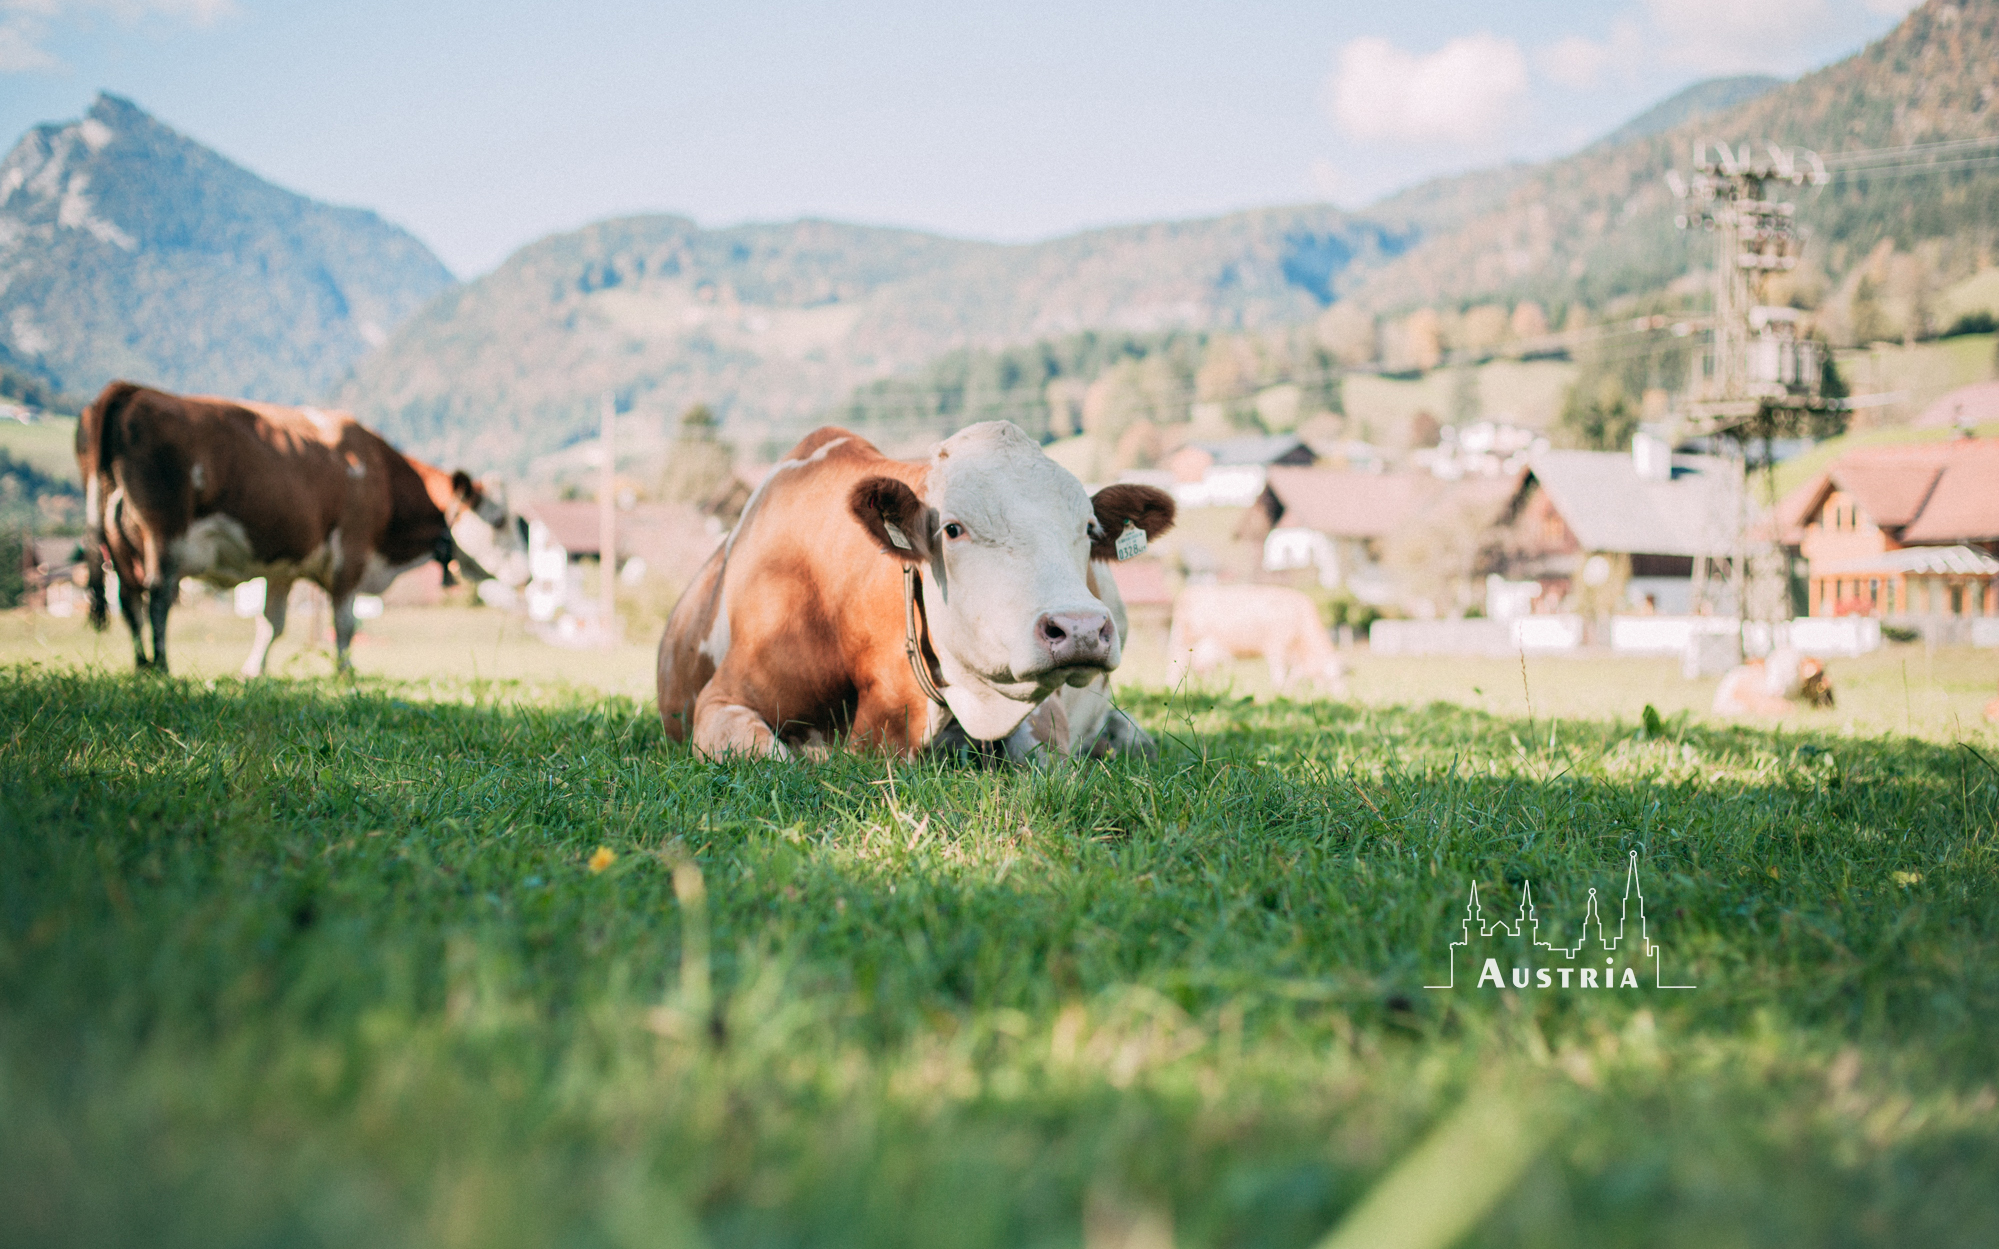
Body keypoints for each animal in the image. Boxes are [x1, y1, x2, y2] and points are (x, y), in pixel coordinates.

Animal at [81, 379, 527, 675]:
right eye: (499, 521)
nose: (528, 575)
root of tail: (134, 391)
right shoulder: (351, 553)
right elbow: (345, 623)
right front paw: (345, 673)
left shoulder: (284, 568)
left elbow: (272, 625)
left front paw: (253, 672)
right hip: (164, 531)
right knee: (157, 597)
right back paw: (161, 665)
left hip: (116, 537)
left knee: (130, 600)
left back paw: (141, 665)